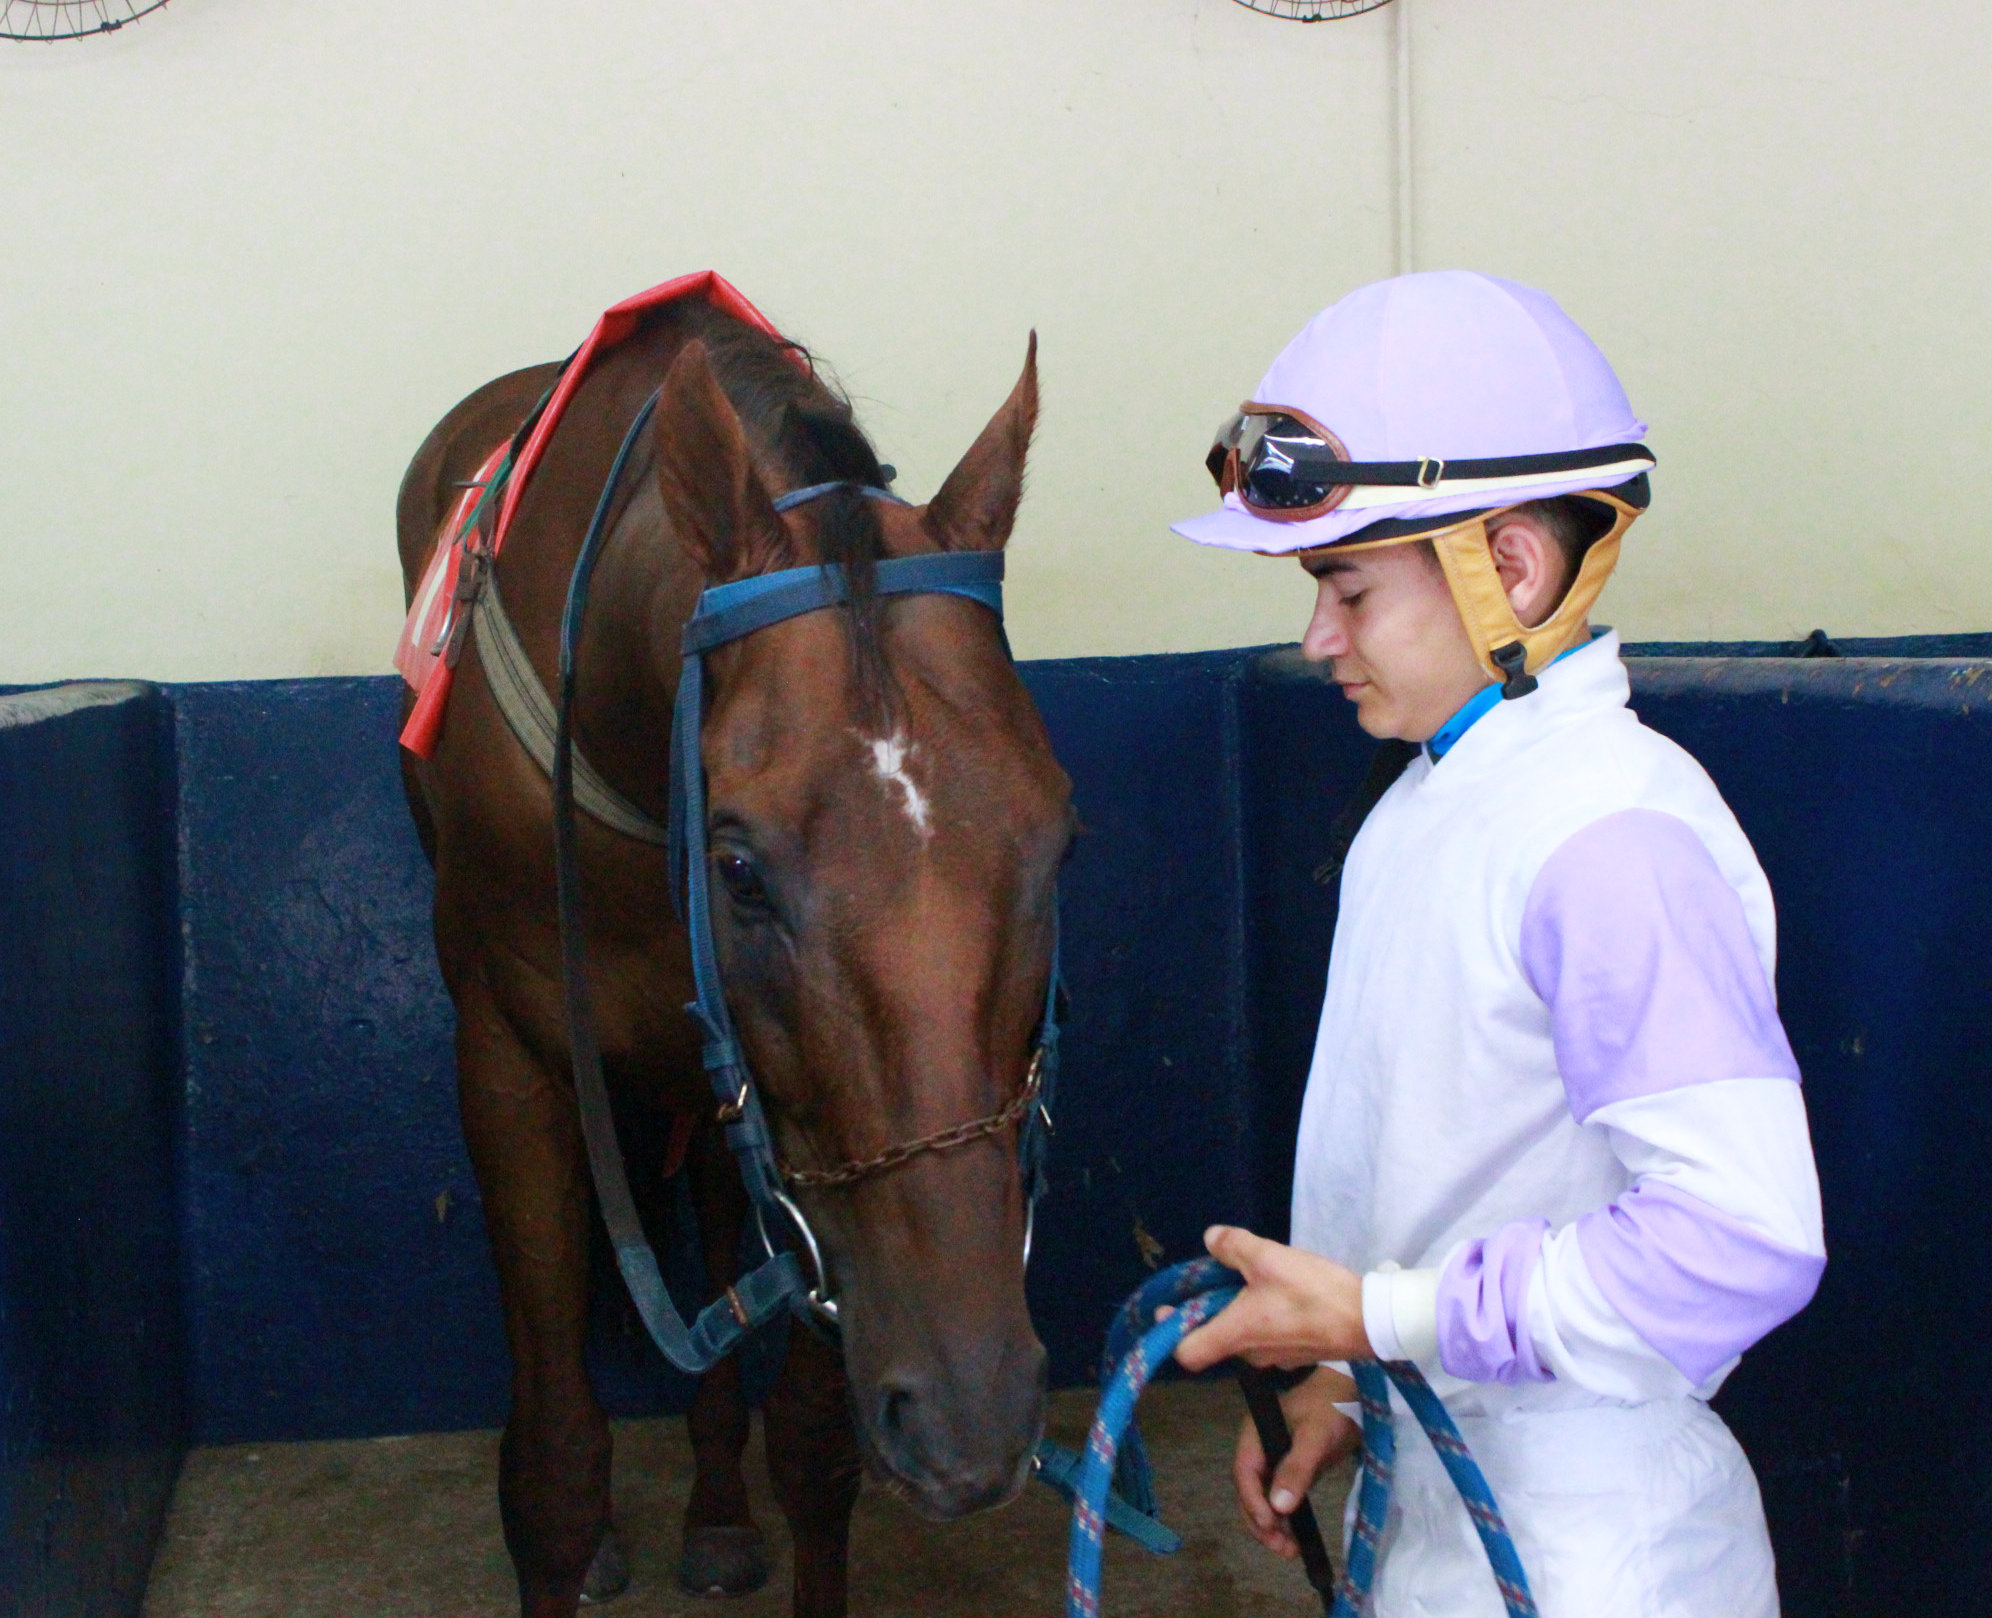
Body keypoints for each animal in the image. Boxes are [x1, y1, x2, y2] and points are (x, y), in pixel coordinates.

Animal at [394, 296, 1071, 1618]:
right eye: (742, 868)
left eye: (1058, 838)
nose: (974, 1409)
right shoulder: (510, 1063)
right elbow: (555, 1467)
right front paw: (574, 1522)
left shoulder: (795, 1141)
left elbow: (813, 1450)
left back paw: (714, 1515)